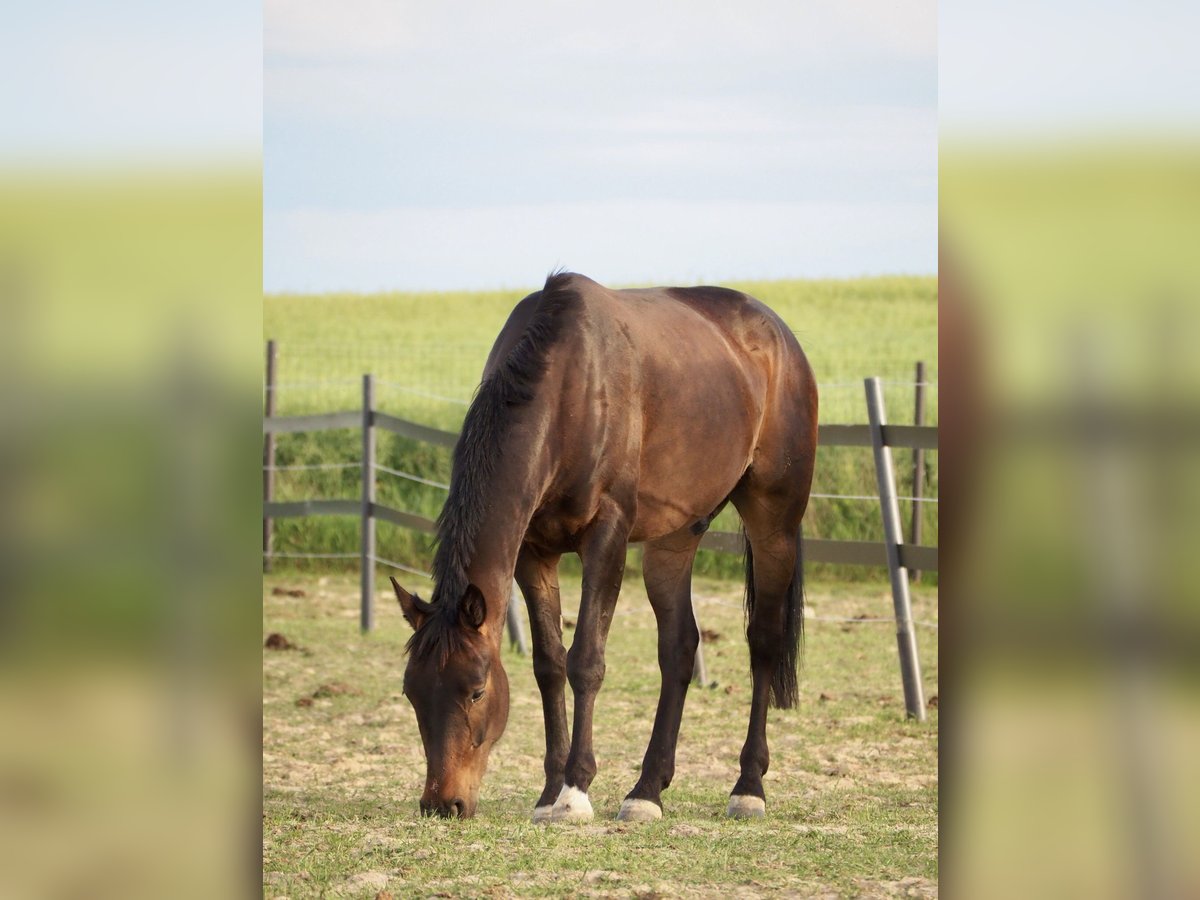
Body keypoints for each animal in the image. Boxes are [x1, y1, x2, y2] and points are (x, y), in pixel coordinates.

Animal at [391, 273, 816, 825]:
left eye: (477, 690)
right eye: (412, 693)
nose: (442, 803)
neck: (569, 385)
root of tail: (779, 336)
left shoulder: (607, 535)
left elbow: (586, 660)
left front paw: (574, 792)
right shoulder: (533, 552)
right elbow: (549, 665)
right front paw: (550, 791)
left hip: (774, 522)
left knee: (763, 641)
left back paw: (748, 788)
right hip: (674, 537)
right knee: (678, 647)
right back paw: (646, 791)